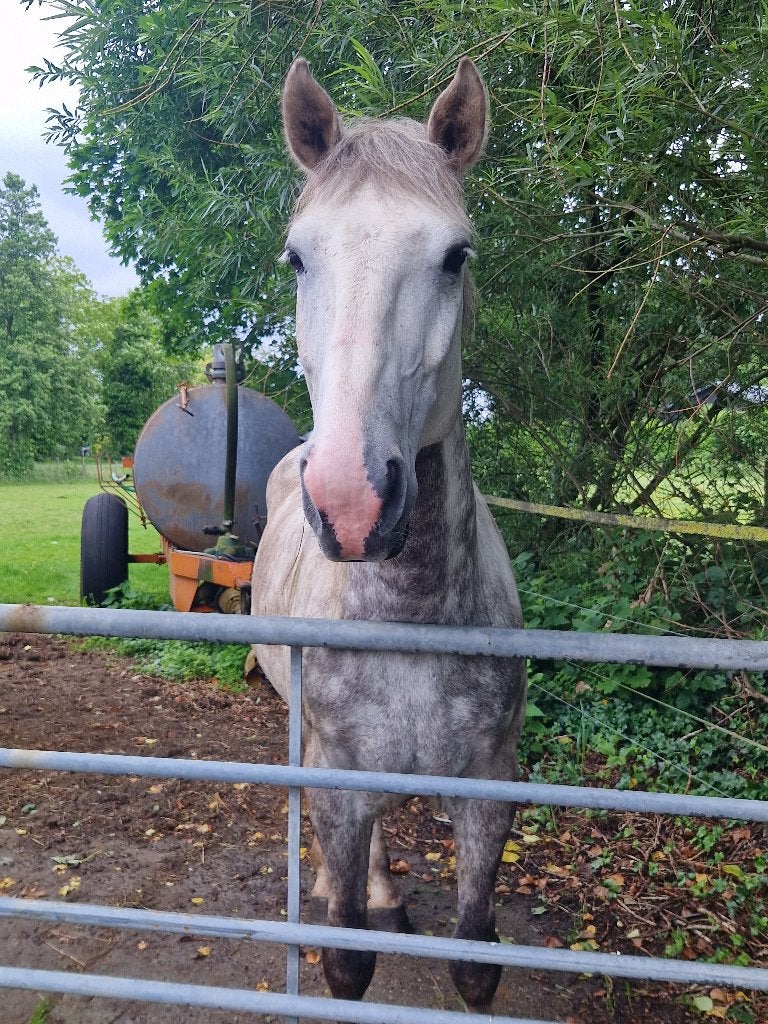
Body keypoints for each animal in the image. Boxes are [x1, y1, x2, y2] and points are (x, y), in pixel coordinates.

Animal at [249, 56, 527, 1012]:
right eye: (298, 256)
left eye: (456, 255)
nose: (351, 502)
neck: (409, 619)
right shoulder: (339, 780)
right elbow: (347, 963)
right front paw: (350, 904)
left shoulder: (487, 791)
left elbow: (478, 964)